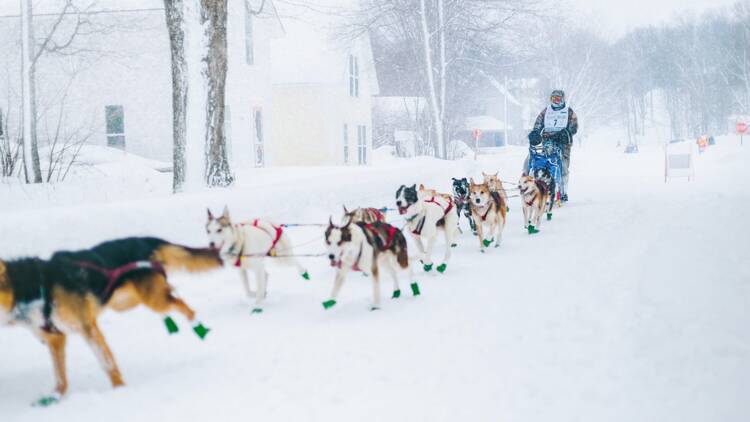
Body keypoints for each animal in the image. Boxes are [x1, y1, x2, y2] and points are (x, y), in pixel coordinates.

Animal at [0, 237, 223, 406]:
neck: (31, 289)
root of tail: (146, 240)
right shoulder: (56, 338)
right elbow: (60, 375)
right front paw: (55, 396)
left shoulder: (88, 328)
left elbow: (107, 364)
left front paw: (119, 391)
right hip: (127, 302)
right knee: (171, 301)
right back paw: (171, 324)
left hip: (152, 299)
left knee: (181, 303)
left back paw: (197, 325)